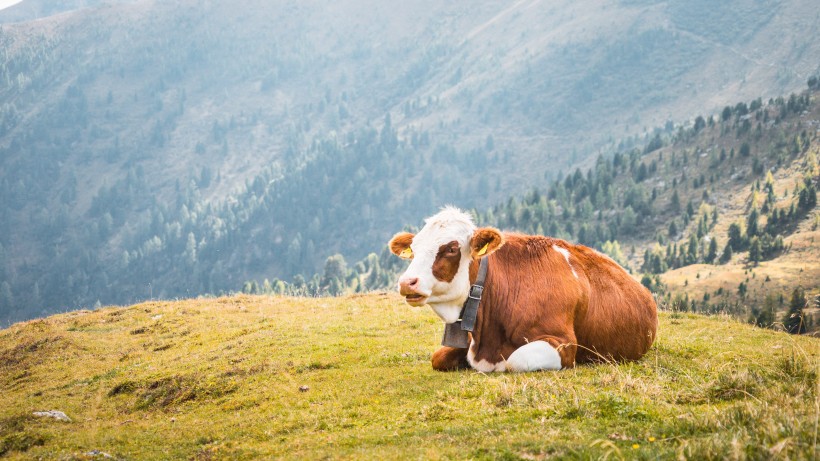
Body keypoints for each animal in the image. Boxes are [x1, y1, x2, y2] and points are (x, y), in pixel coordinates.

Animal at [390, 207, 660, 372]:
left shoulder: (564, 344)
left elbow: (515, 360)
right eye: (414, 248)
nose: (407, 282)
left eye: (451, 248)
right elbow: (438, 357)